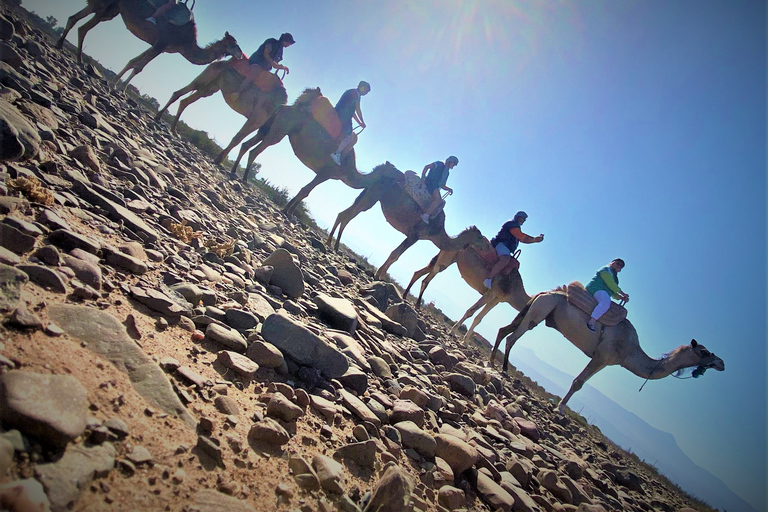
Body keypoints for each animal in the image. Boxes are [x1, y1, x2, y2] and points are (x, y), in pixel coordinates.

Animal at [55, 0, 242, 88]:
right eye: (234, 44)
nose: (241, 55)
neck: (185, 42)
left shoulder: (158, 45)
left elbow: (133, 62)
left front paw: (113, 82)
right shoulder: (162, 43)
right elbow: (139, 67)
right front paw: (120, 88)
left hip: (110, 8)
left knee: (77, 21)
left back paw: (66, 50)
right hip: (105, 7)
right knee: (82, 25)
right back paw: (74, 55)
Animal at [154, 59, 292, 164]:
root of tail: (220, 61)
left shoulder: (259, 124)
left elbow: (239, 140)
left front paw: (219, 159)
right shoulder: (255, 119)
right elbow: (237, 138)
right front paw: (218, 159)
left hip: (209, 88)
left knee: (185, 101)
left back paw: (173, 129)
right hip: (206, 77)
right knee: (178, 93)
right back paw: (159, 117)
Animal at [324, 163, 486, 280]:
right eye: (480, 237)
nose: (486, 246)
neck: (437, 231)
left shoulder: (414, 236)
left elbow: (396, 255)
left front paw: (379, 274)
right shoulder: (415, 235)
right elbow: (395, 255)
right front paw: (379, 275)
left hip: (369, 193)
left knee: (344, 214)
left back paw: (332, 244)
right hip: (373, 195)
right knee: (349, 215)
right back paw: (332, 244)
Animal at [402, 245, 536, 344]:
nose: (532, 324)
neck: (515, 290)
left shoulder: (497, 299)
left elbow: (479, 318)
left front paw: (465, 342)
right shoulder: (491, 292)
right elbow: (471, 312)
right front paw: (452, 331)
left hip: (448, 259)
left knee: (418, 272)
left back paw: (405, 296)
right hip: (445, 259)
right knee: (426, 280)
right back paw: (417, 304)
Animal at [492, 290, 728, 414]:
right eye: (705, 352)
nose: (722, 363)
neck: (631, 351)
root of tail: (546, 292)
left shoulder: (604, 360)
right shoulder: (603, 357)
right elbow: (578, 382)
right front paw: (560, 408)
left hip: (536, 310)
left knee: (504, 330)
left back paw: (493, 361)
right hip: (541, 310)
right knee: (512, 337)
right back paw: (503, 369)